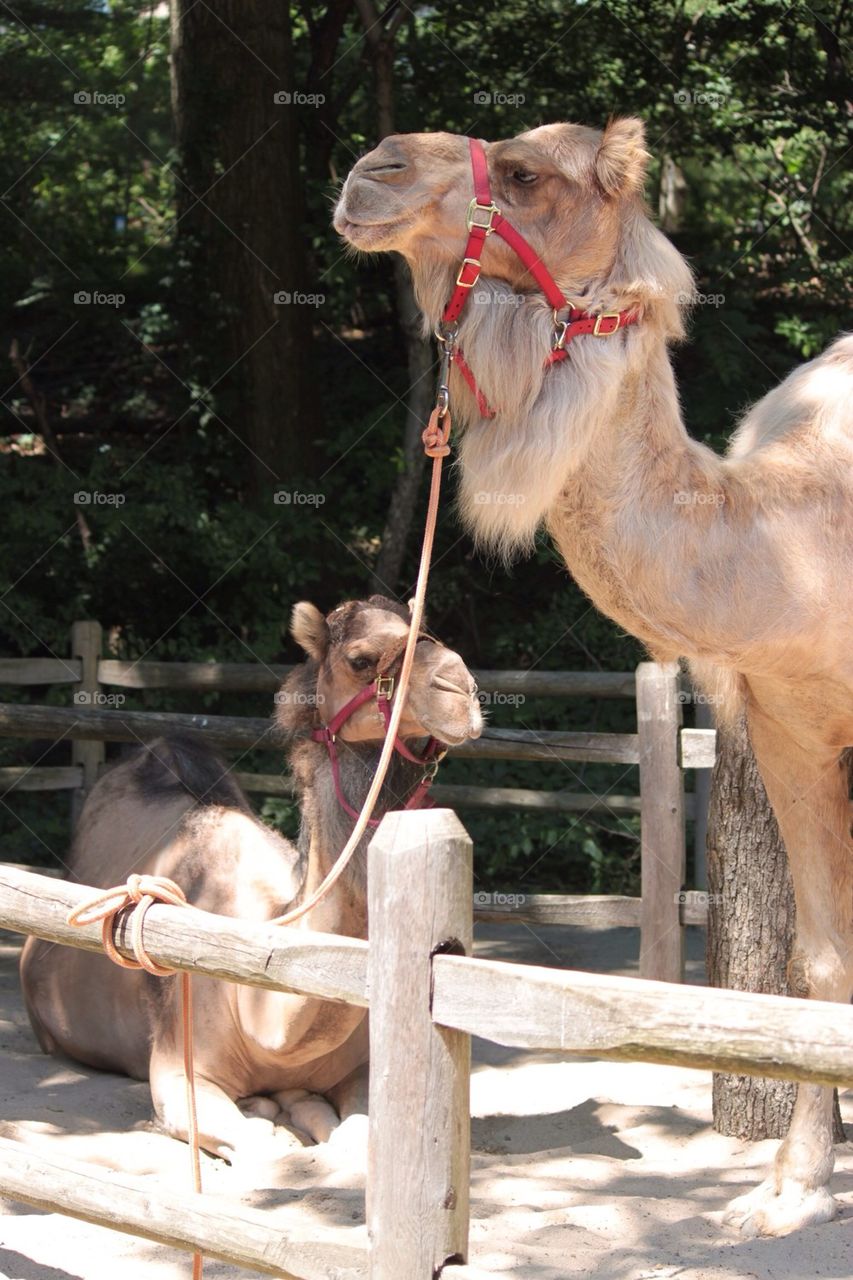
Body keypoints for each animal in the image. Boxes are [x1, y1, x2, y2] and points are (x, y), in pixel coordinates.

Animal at [20, 595, 482, 1179]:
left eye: (428, 628)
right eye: (359, 658)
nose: (460, 686)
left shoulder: (360, 1069)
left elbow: (355, 1139)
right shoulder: (177, 1072)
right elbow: (267, 1149)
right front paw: (276, 1119)